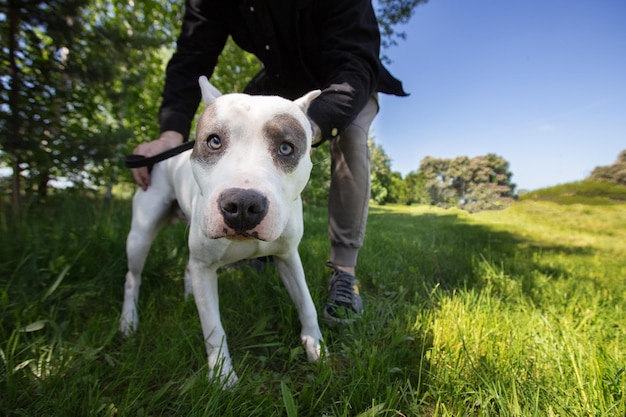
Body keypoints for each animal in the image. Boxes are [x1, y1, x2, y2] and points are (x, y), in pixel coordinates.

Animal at [119, 78, 322, 386]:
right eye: (214, 141)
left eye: (286, 148)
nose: (243, 205)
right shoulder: (205, 267)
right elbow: (213, 327)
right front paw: (222, 377)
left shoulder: (288, 256)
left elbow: (307, 301)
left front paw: (315, 345)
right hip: (140, 235)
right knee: (133, 278)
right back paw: (128, 322)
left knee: (186, 269)